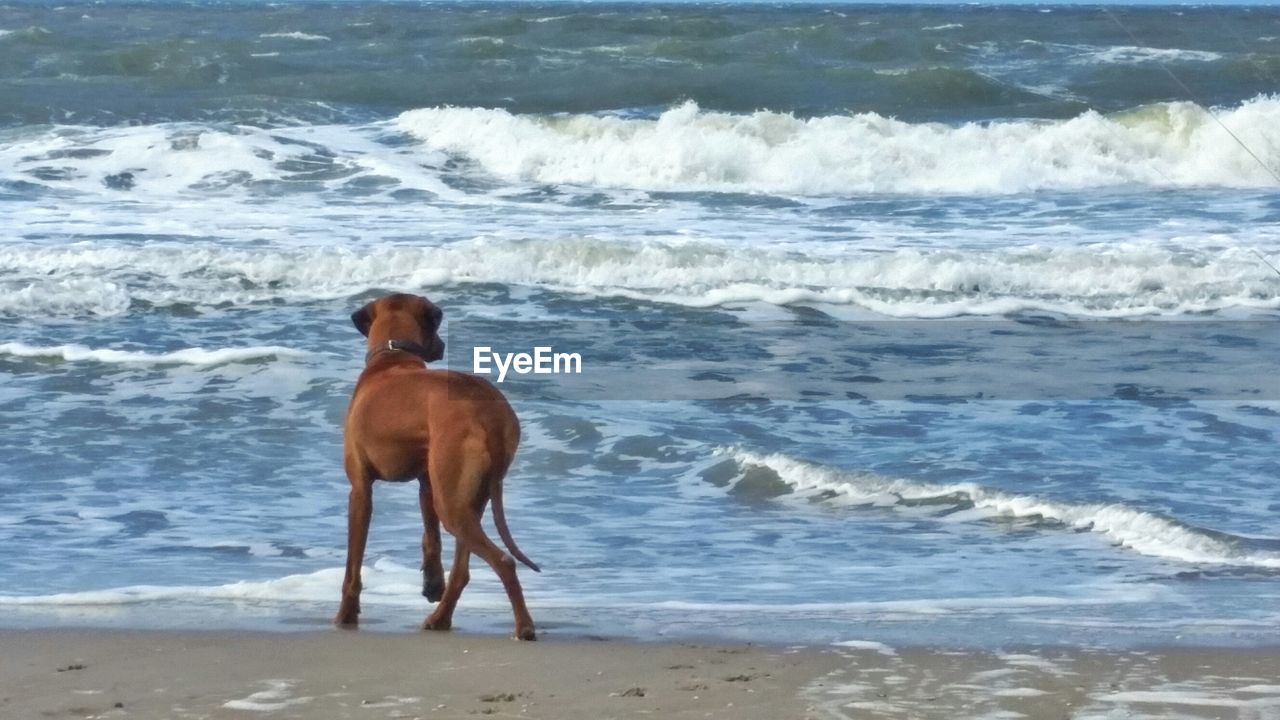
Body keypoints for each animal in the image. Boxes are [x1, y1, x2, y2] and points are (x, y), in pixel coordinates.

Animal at [335, 292, 540, 638]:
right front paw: (432, 583)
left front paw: (346, 614)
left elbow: (353, 565)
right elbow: (430, 538)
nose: (443, 346)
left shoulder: (360, 490)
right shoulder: (426, 483)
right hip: (465, 495)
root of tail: (491, 412)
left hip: (452, 503)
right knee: (463, 568)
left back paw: (523, 626)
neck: (393, 354)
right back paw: (440, 617)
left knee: (503, 560)